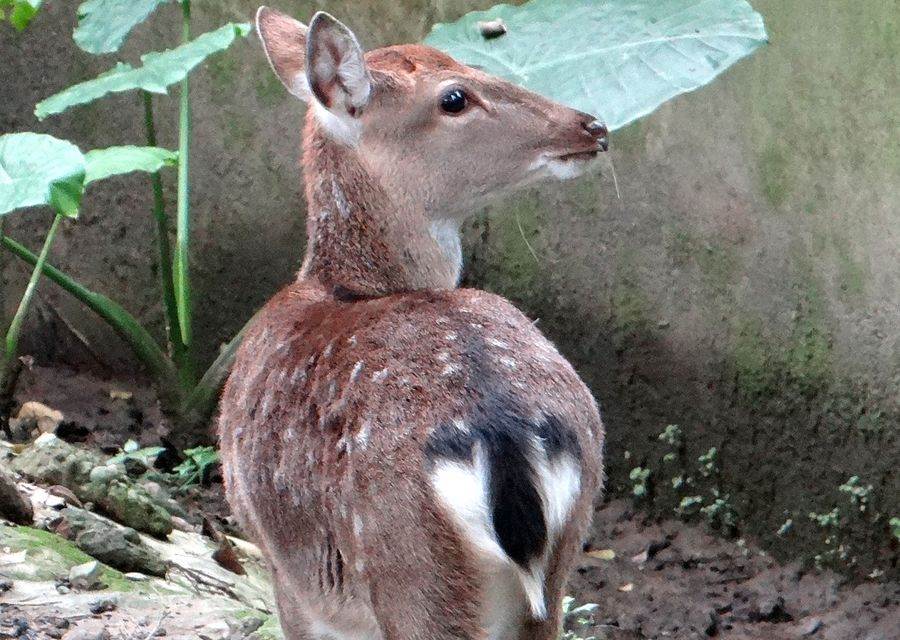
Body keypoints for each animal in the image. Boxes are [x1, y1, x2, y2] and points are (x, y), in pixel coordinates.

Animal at [219, 6, 608, 640]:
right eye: (455, 97)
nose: (591, 125)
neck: (337, 283)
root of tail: (503, 435)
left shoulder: (284, 571)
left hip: (410, 571)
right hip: (559, 559)